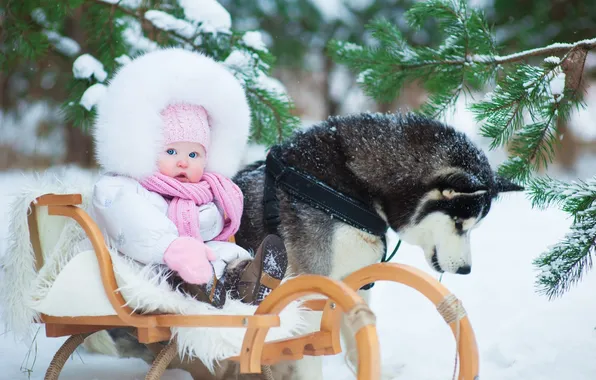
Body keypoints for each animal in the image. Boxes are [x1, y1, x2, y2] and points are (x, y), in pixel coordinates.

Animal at [88, 111, 520, 378]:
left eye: (475, 226)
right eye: (461, 223)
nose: (466, 269)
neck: (350, 184)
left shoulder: (356, 282)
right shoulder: (312, 286)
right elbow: (308, 348)